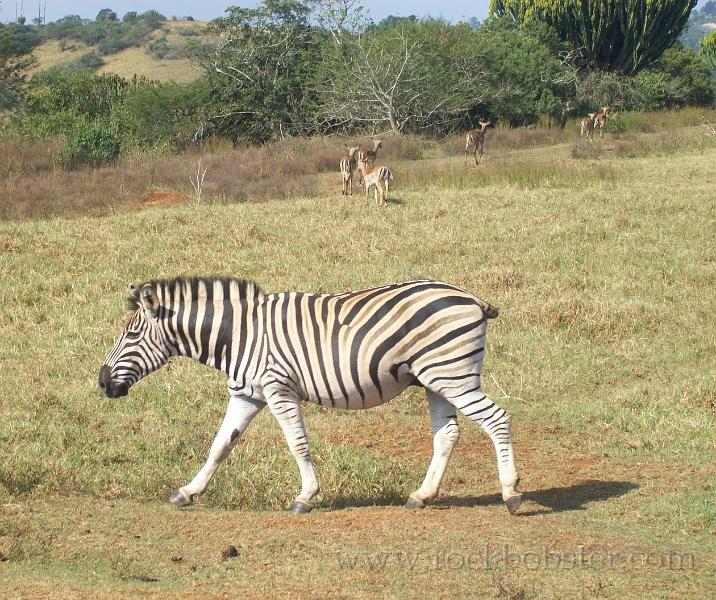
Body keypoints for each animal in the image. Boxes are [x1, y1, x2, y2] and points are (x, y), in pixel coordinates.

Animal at [98, 278, 524, 516]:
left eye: (131, 335)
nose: (102, 383)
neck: (237, 336)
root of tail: (470, 297)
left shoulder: (278, 388)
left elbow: (297, 443)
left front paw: (305, 496)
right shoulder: (246, 394)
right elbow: (219, 446)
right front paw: (188, 492)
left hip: (453, 375)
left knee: (497, 420)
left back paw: (511, 494)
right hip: (437, 380)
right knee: (447, 435)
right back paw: (422, 495)